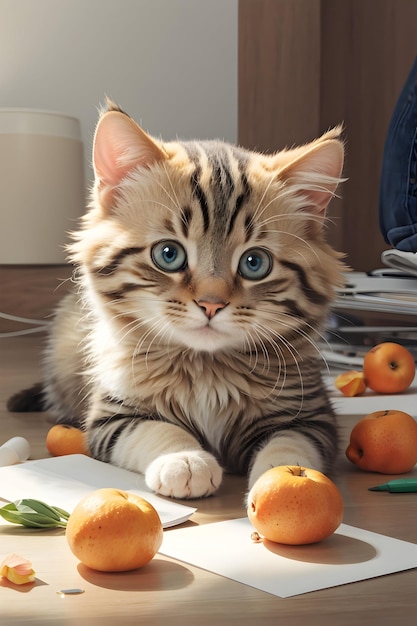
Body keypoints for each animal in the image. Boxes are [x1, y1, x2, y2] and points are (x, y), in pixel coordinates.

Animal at [13, 101, 344, 498]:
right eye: (168, 255)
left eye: (255, 263)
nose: (211, 304)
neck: (207, 372)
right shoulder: (112, 416)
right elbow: (157, 428)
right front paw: (184, 460)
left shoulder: (312, 417)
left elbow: (288, 446)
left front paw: (282, 481)